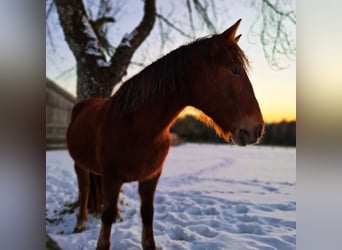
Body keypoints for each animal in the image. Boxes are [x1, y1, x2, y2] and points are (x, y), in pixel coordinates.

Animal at [67, 20, 264, 250]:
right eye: (235, 70)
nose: (257, 129)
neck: (136, 129)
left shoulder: (151, 178)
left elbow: (147, 214)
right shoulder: (112, 178)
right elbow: (106, 218)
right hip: (79, 165)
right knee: (84, 188)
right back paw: (80, 223)